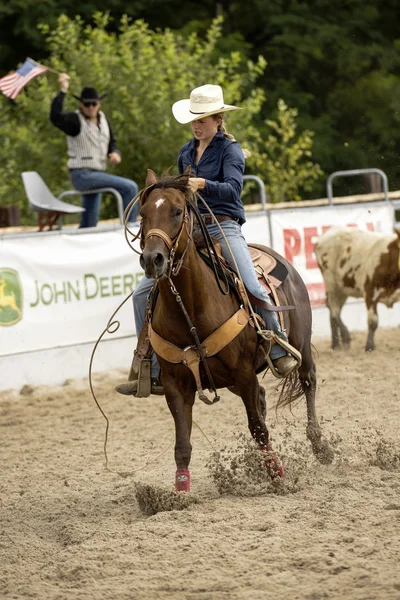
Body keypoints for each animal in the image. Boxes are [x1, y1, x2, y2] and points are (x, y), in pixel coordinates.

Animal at [139, 170, 332, 492]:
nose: (153, 259)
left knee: (308, 382)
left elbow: (258, 428)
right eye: (142, 214)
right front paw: (180, 491)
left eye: (177, 211)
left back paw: (321, 446)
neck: (191, 308)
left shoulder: (243, 374)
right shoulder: (175, 384)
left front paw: (278, 475)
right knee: (264, 397)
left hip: (300, 345)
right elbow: (182, 443)